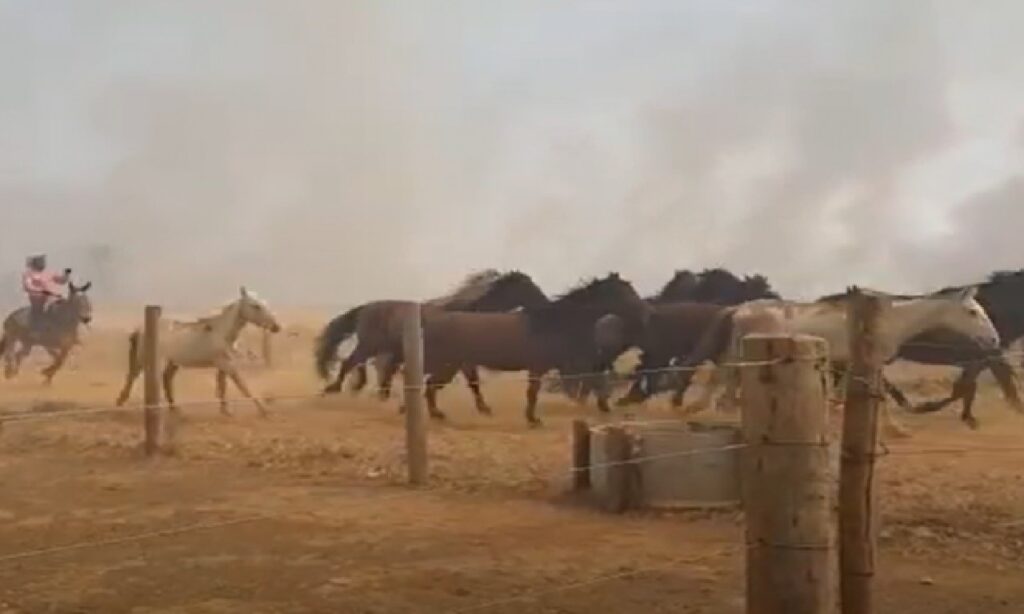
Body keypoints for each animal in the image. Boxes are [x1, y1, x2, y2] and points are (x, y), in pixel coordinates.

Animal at [116, 288, 280, 417]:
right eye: (255, 306)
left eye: (264, 304)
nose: (276, 327)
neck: (221, 332)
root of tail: (141, 329)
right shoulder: (226, 364)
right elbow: (243, 385)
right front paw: (263, 410)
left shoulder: (224, 364)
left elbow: (223, 386)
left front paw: (225, 410)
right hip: (146, 359)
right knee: (132, 376)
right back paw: (121, 403)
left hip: (172, 363)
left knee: (166, 379)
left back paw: (174, 408)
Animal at [313, 270, 548, 409]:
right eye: (528, 287)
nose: (546, 303)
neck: (468, 313)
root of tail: (366, 308)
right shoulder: (463, 360)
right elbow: (472, 382)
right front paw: (484, 408)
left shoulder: (460, 361)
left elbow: (468, 382)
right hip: (370, 344)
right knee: (350, 362)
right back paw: (333, 389)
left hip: (380, 347)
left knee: (371, 367)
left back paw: (374, 393)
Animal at [417, 274, 647, 427]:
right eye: (625, 292)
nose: (645, 312)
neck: (553, 324)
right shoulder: (546, 366)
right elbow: (534, 392)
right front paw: (533, 419)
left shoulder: (572, 364)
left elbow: (593, 382)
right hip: (445, 364)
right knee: (429, 385)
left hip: (452, 366)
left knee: (432, 386)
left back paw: (439, 414)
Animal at [671, 284, 999, 433]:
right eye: (972, 312)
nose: (994, 339)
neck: (888, 320)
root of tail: (740, 308)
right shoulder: (868, 363)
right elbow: (877, 399)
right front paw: (896, 429)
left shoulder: (852, 364)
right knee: (726, 381)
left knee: (723, 379)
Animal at [884, 270, 1024, 429]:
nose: (995, 339)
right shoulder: (985, 359)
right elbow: (966, 388)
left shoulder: (981, 361)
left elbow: (965, 388)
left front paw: (967, 417)